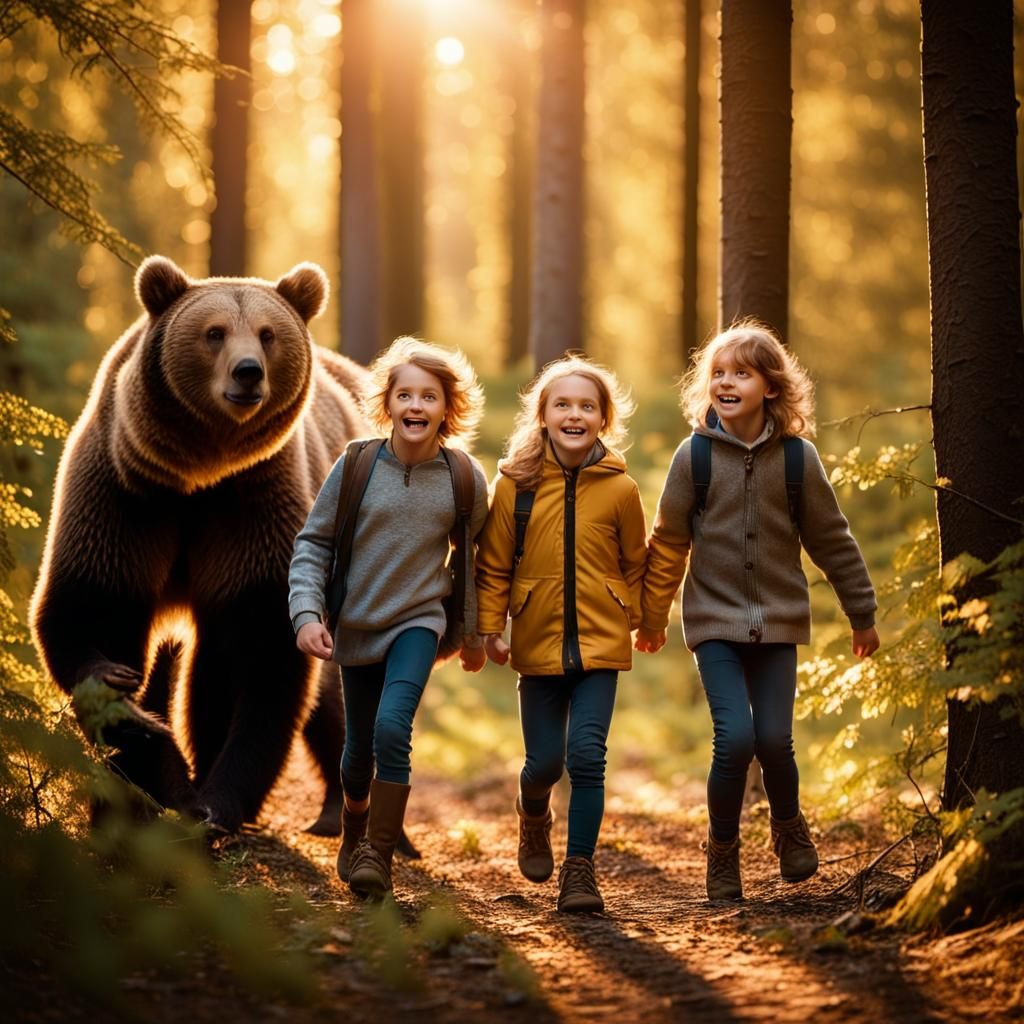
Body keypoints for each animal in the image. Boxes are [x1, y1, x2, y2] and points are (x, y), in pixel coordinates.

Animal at [31, 256, 367, 835]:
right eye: (214, 333)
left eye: (268, 333)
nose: (247, 372)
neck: (198, 475)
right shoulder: (127, 494)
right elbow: (94, 608)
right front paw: (142, 746)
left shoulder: (252, 505)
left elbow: (252, 648)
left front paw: (215, 798)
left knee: (327, 694)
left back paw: (333, 812)